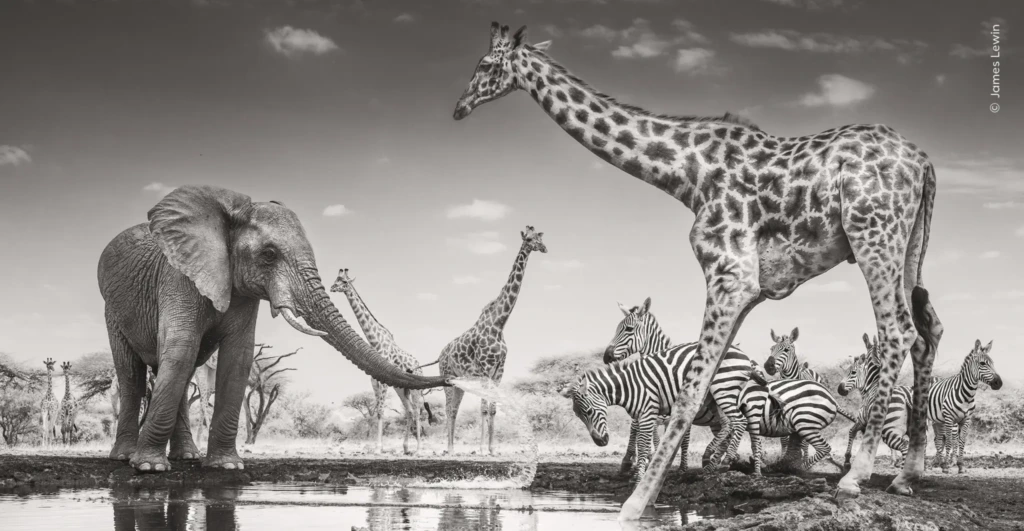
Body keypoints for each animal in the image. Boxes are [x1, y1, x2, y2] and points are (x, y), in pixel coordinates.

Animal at [98, 184, 448, 472]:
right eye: (268, 254)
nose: (449, 376)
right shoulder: (177, 276)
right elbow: (182, 351)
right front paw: (149, 468)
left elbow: (238, 359)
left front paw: (226, 466)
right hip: (112, 309)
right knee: (134, 373)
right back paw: (126, 458)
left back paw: (186, 457)